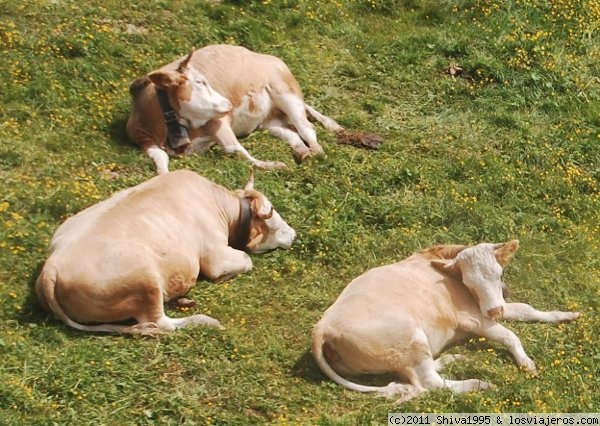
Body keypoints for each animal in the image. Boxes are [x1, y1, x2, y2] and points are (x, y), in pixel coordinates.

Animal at [35, 170, 296, 336]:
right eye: (274, 221)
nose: (294, 234)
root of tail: (52, 266)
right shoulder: (215, 256)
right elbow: (246, 259)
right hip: (145, 278)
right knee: (160, 323)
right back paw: (204, 319)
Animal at [127, 44, 352, 174]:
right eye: (200, 82)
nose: (228, 104)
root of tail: (265, 56)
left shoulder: (218, 122)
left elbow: (233, 149)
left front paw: (273, 166)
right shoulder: (144, 140)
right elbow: (160, 158)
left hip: (286, 92)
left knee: (306, 128)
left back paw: (317, 151)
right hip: (270, 120)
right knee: (292, 134)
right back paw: (303, 153)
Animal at [312, 241, 580, 402]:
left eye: (498, 273)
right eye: (469, 282)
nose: (494, 310)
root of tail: (324, 325)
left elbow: (528, 310)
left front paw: (567, 315)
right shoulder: (472, 318)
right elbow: (510, 336)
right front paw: (526, 363)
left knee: (421, 373)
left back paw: (454, 358)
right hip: (411, 336)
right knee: (429, 382)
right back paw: (478, 384)